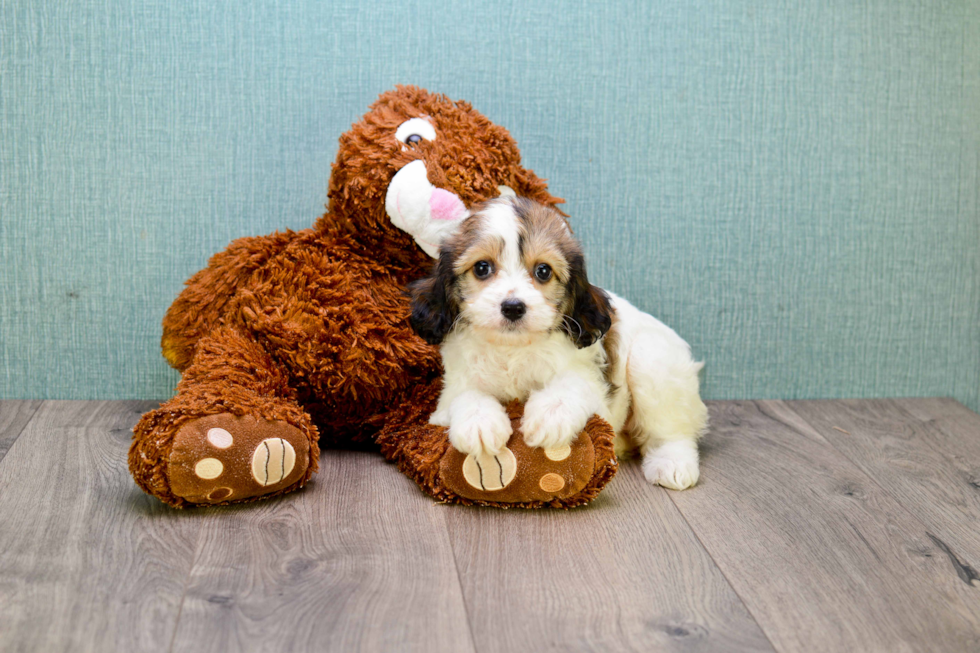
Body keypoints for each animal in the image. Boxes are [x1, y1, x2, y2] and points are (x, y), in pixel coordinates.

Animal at [410, 196, 708, 486]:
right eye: (482, 268)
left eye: (543, 271)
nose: (513, 307)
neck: (513, 350)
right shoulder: (447, 398)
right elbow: (465, 394)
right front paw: (479, 422)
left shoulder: (594, 387)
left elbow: (572, 385)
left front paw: (549, 416)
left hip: (652, 361)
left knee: (671, 430)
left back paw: (672, 462)